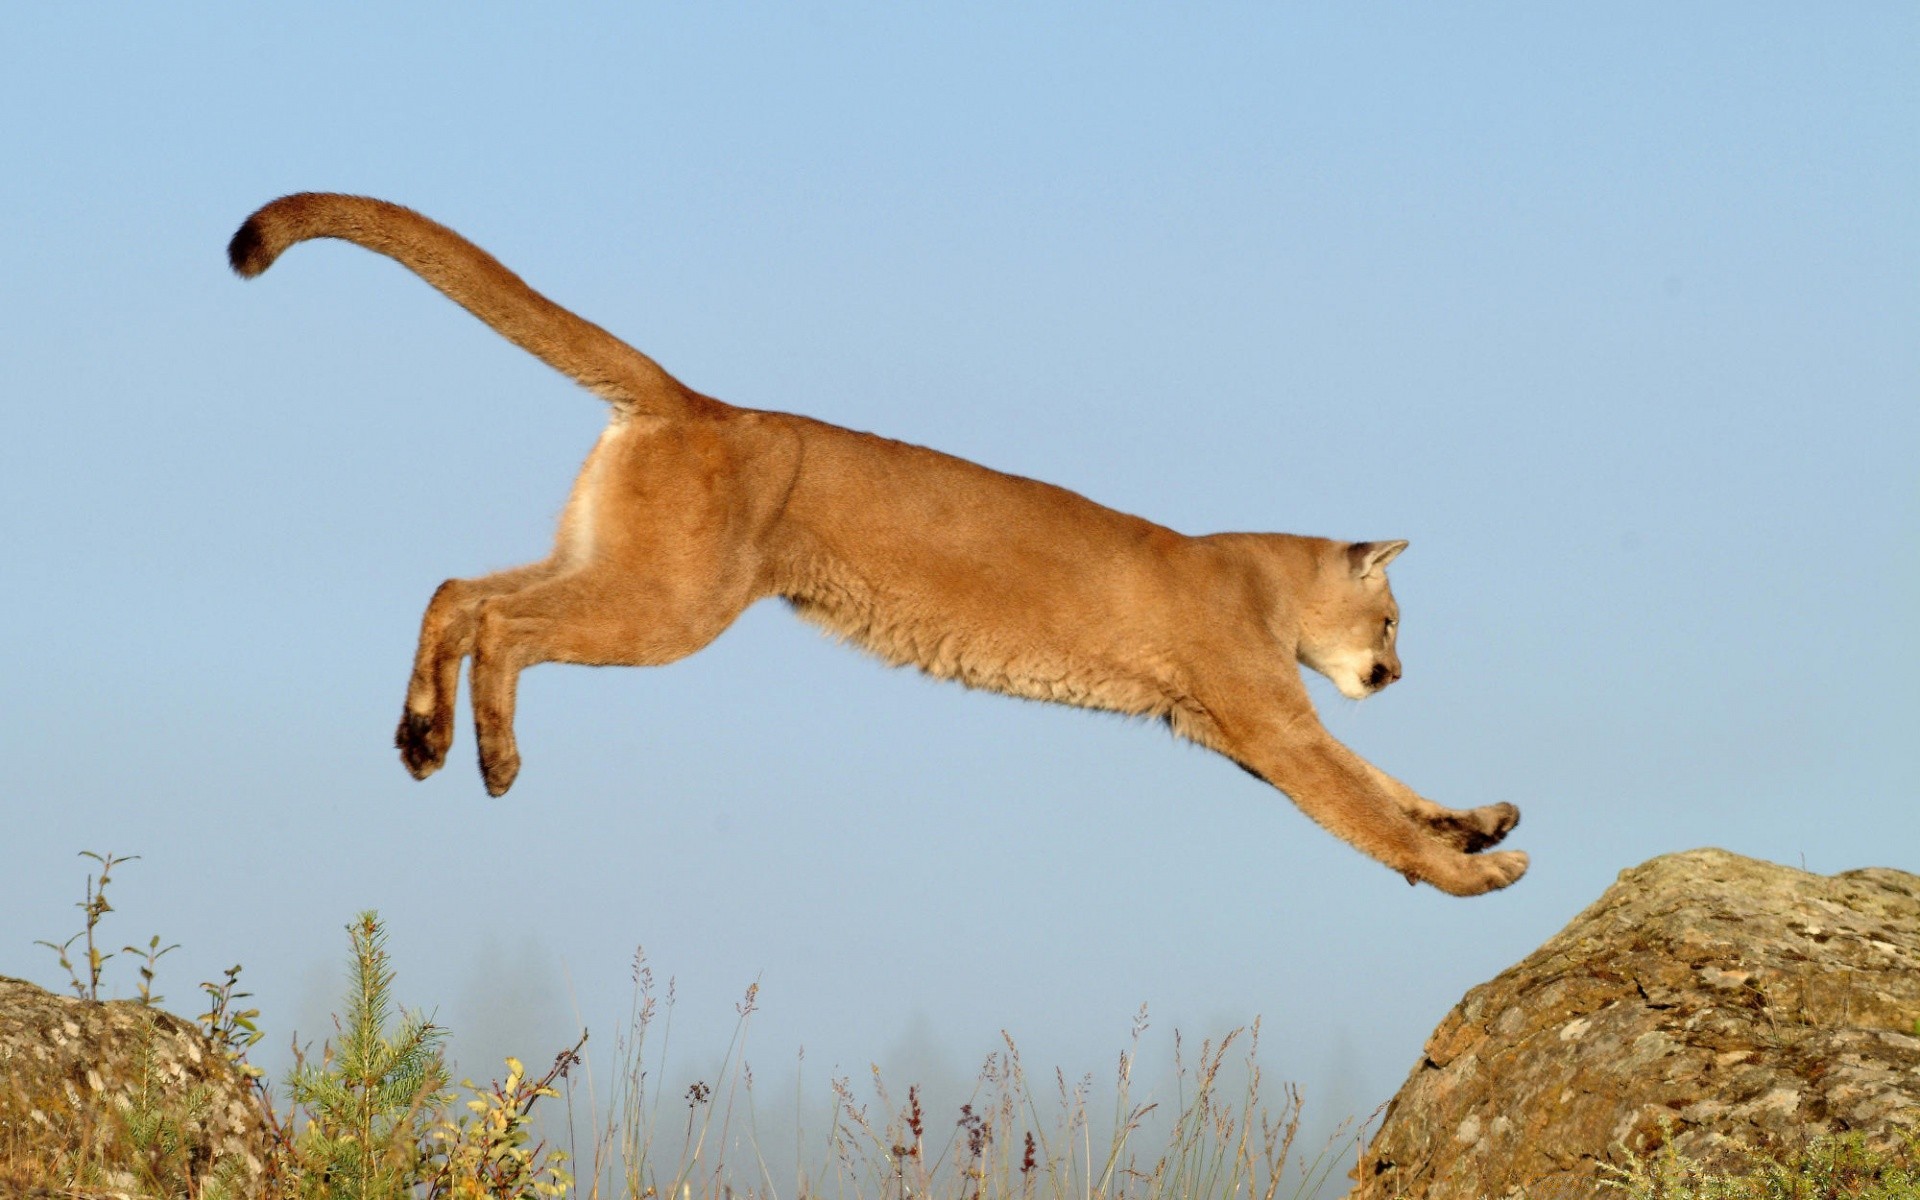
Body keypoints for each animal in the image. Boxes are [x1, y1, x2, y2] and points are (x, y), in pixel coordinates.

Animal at [224, 192, 1520, 894]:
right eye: (1393, 619)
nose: (1393, 672)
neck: (1262, 577)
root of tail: (699, 402)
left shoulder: (1238, 725)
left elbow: (1385, 785)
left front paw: (1478, 822)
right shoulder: (1267, 723)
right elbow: (1361, 807)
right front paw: (1474, 874)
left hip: (617, 563)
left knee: (456, 586)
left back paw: (422, 740)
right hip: (670, 604)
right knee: (503, 618)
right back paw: (490, 758)